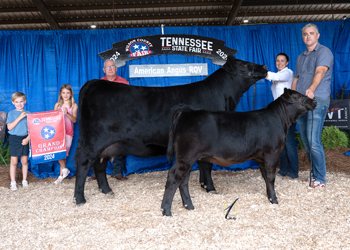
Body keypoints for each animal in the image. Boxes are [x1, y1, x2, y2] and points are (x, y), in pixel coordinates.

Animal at [72, 55, 266, 205]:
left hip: (105, 144)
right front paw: (211, 188)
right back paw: (80, 199)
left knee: (99, 164)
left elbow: (204, 165)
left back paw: (106, 190)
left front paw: (203, 185)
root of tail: (94, 83)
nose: (264, 66)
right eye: (243, 64)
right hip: (94, 140)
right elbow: (207, 165)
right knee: (83, 163)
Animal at [161, 89, 318, 216]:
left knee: (183, 180)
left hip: (187, 158)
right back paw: (166, 210)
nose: (314, 101)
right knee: (174, 176)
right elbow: (271, 177)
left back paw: (189, 205)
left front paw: (269, 196)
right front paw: (274, 200)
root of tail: (187, 111)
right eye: (296, 97)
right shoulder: (272, 153)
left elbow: (266, 177)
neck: (280, 120)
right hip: (186, 156)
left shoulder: (261, 158)